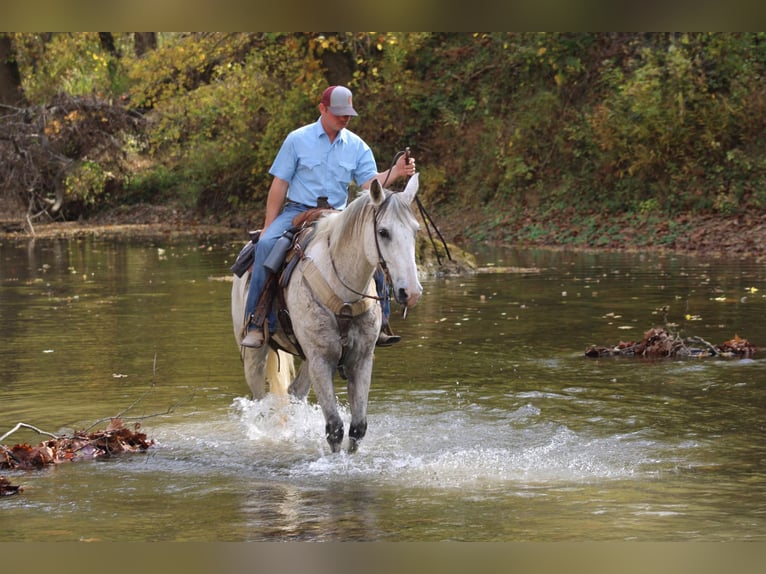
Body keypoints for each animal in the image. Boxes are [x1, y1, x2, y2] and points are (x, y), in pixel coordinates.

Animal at [231, 176, 424, 454]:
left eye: (416, 230)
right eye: (383, 232)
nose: (411, 292)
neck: (342, 290)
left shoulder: (360, 359)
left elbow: (357, 428)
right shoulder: (321, 360)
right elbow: (335, 428)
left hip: (307, 358)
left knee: (295, 392)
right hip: (255, 356)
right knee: (260, 402)